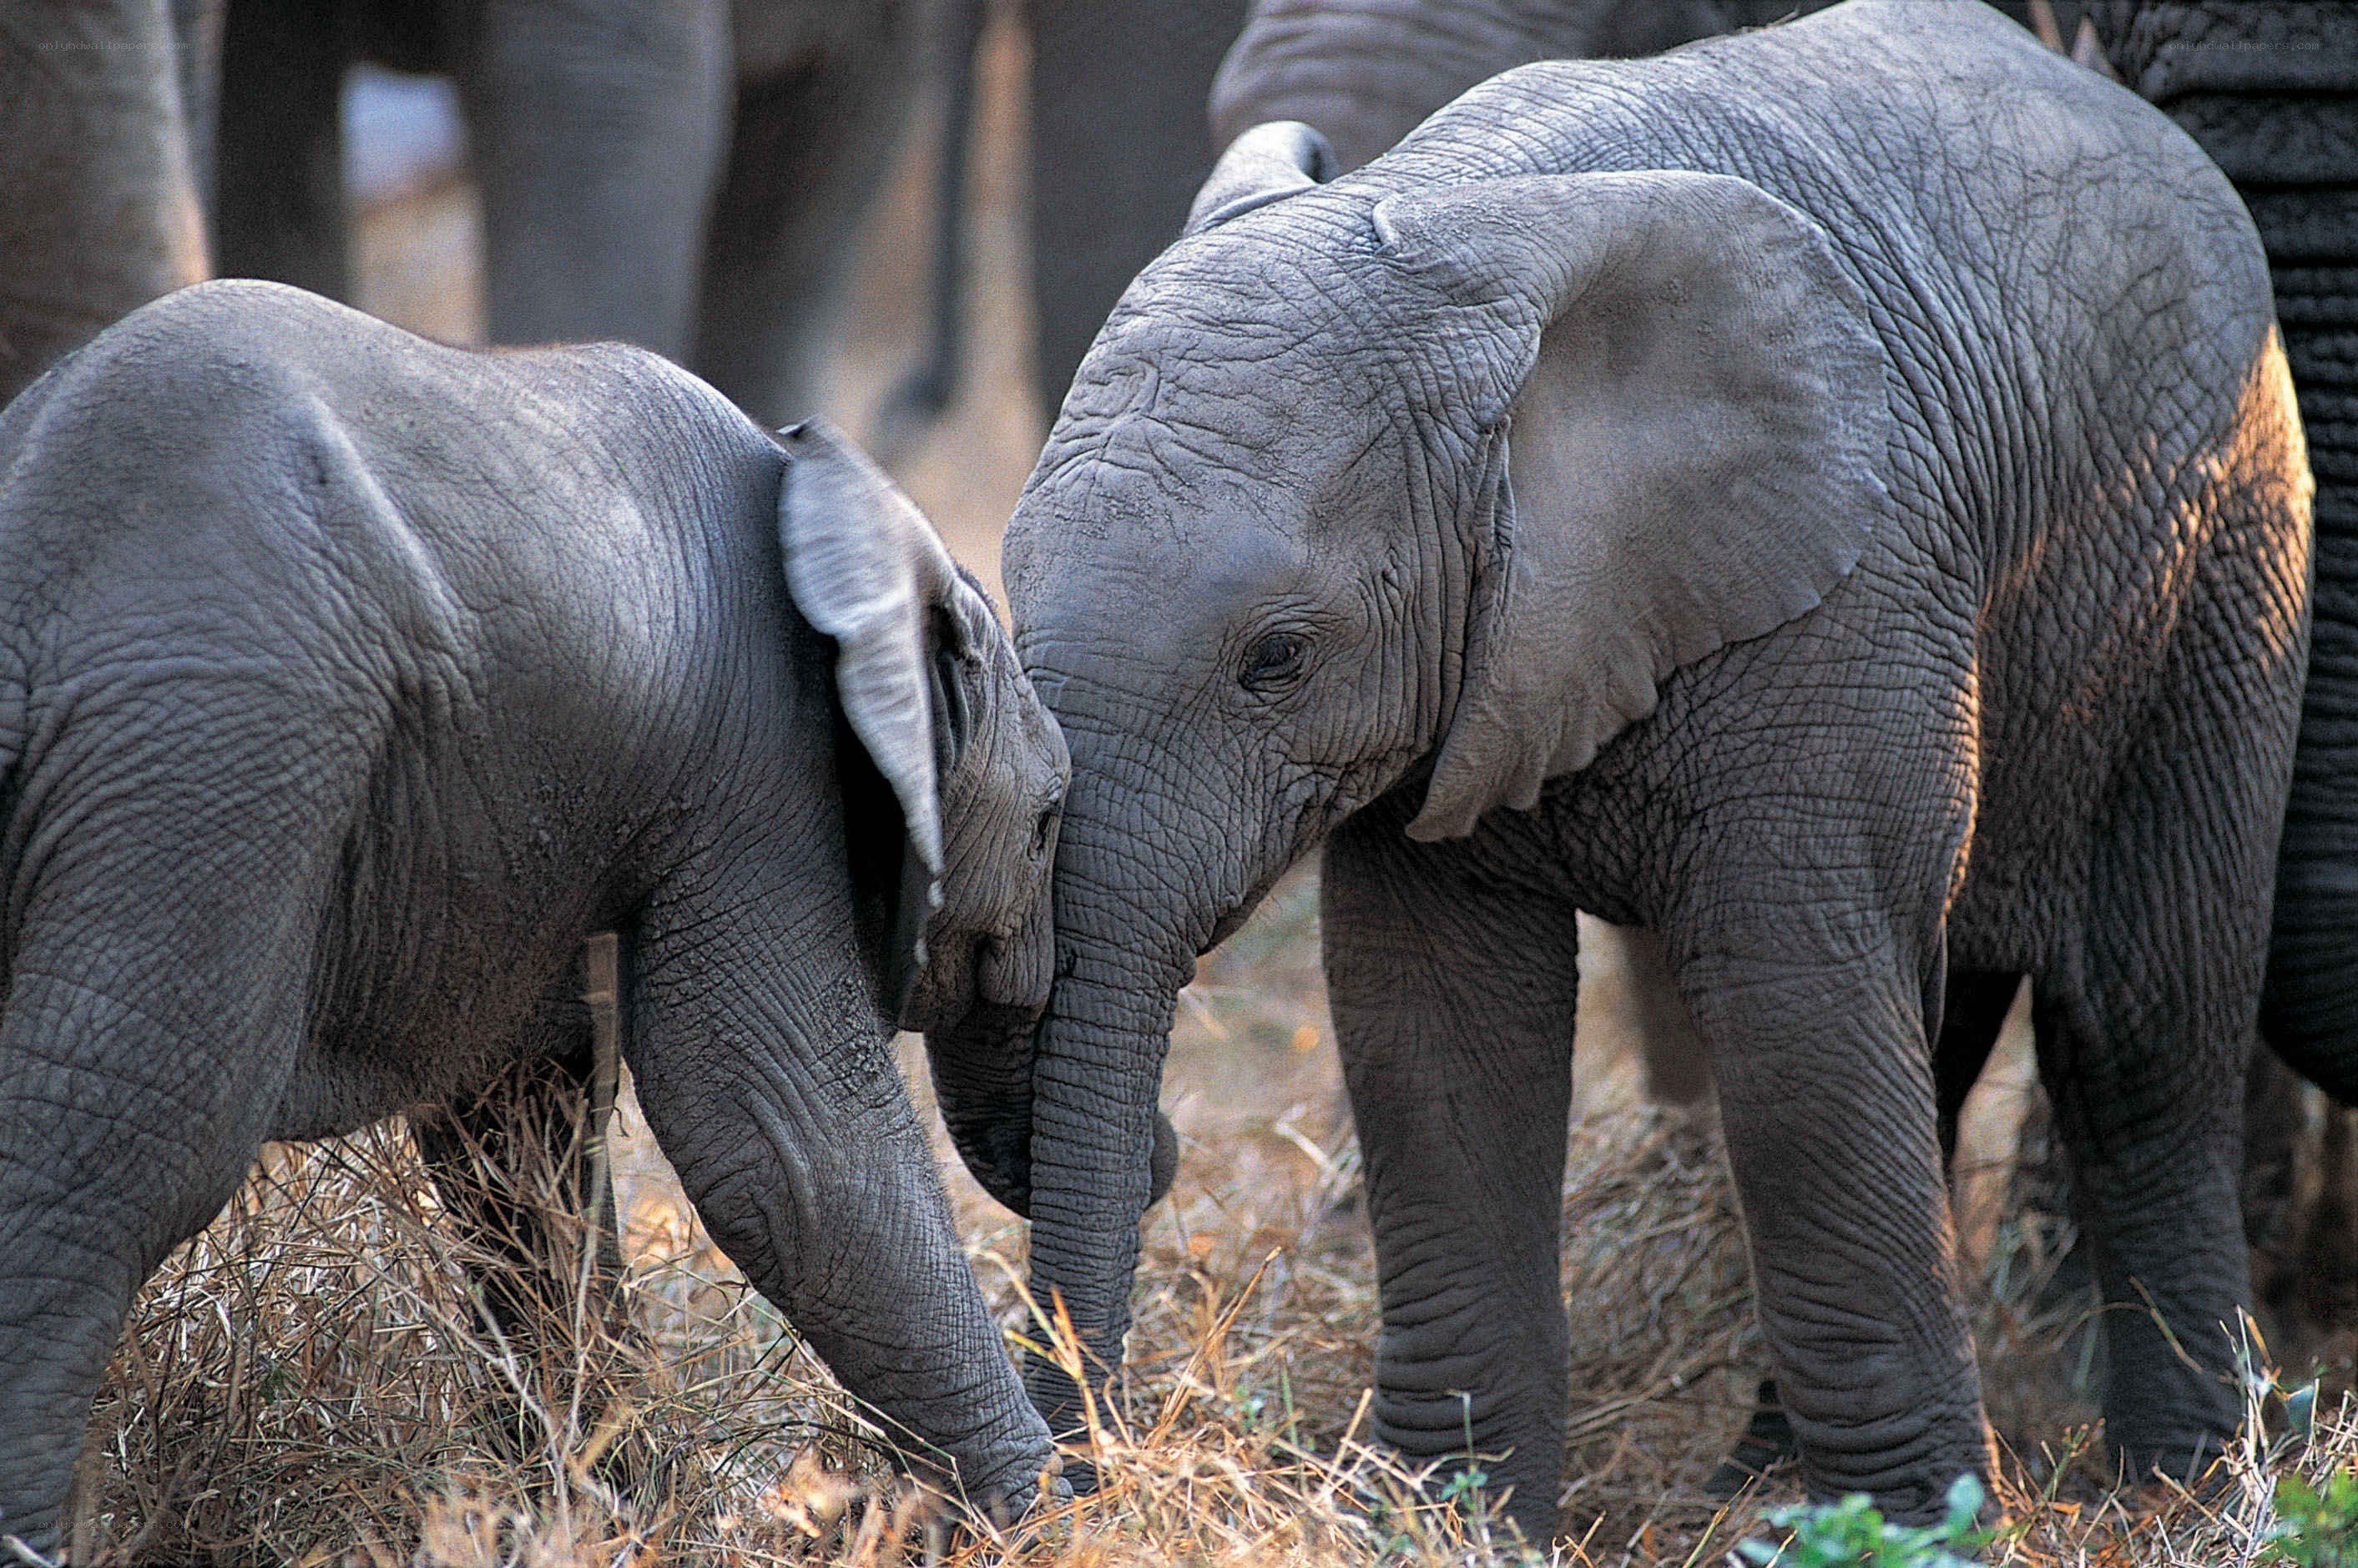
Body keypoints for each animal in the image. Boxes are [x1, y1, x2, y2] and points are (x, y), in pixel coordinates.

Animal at [0, 279, 1068, 1558]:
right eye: (1051, 822)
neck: (848, 508)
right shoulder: (759, 772)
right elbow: (792, 1140)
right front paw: (1056, 1518)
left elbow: (519, 1146)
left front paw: (612, 1511)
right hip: (215, 751)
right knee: (123, 1141)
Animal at [929, 0, 2315, 1539]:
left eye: (1276, 659)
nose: (1076, 1488)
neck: (1455, 242)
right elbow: (1438, 1032)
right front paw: (1452, 1519)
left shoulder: (1848, 587)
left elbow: (1793, 1016)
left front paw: (1912, 1532)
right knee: (1938, 1015)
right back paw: (1769, 1479)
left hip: (2224, 550)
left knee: (2142, 1020)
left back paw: (2185, 1486)